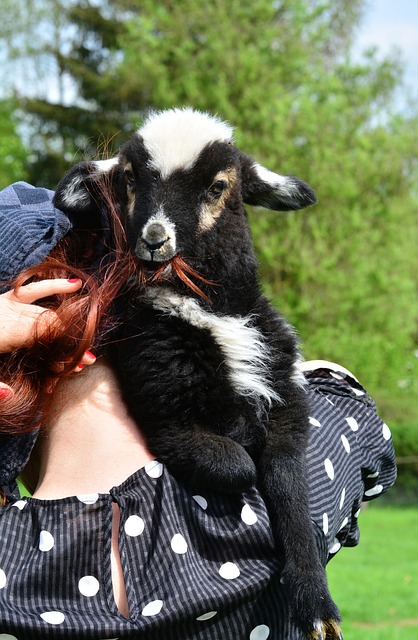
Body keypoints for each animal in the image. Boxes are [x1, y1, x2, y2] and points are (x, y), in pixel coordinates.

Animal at [54, 107, 342, 636]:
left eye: (219, 186)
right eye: (129, 178)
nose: (154, 239)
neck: (215, 310)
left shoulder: (286, 402)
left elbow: (288, 482)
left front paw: (316, 605)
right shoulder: (168, 419)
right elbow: (239, 465)